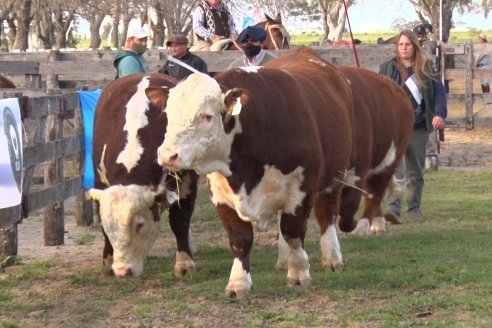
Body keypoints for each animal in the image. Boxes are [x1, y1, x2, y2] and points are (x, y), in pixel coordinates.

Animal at [88, 73, 198, 278]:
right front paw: (108, 261)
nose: (122, 271)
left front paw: (184, 264)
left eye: (139, 224)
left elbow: (180, 222)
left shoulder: (187, 184)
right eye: (109, 226)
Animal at [158, 48, 354, 298]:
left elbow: (293, 231)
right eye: (168, 114)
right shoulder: (220, 194)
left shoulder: (301, 188)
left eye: (206, 116)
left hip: (334, 176)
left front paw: (299, 274)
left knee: (325, 215)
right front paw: (238, 283)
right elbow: (240, 238)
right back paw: (283, 259)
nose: (167, 155)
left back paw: (332, 258)